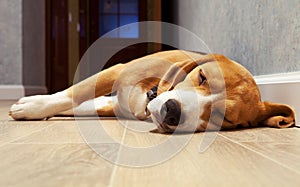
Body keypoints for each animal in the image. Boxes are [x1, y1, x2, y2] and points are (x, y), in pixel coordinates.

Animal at [7, 50, 296, 133]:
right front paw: (33, 105)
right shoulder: (118, 71)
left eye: (223, 118)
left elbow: (79, 103)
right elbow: (71, 94)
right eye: (202, 77)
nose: (171, 112)